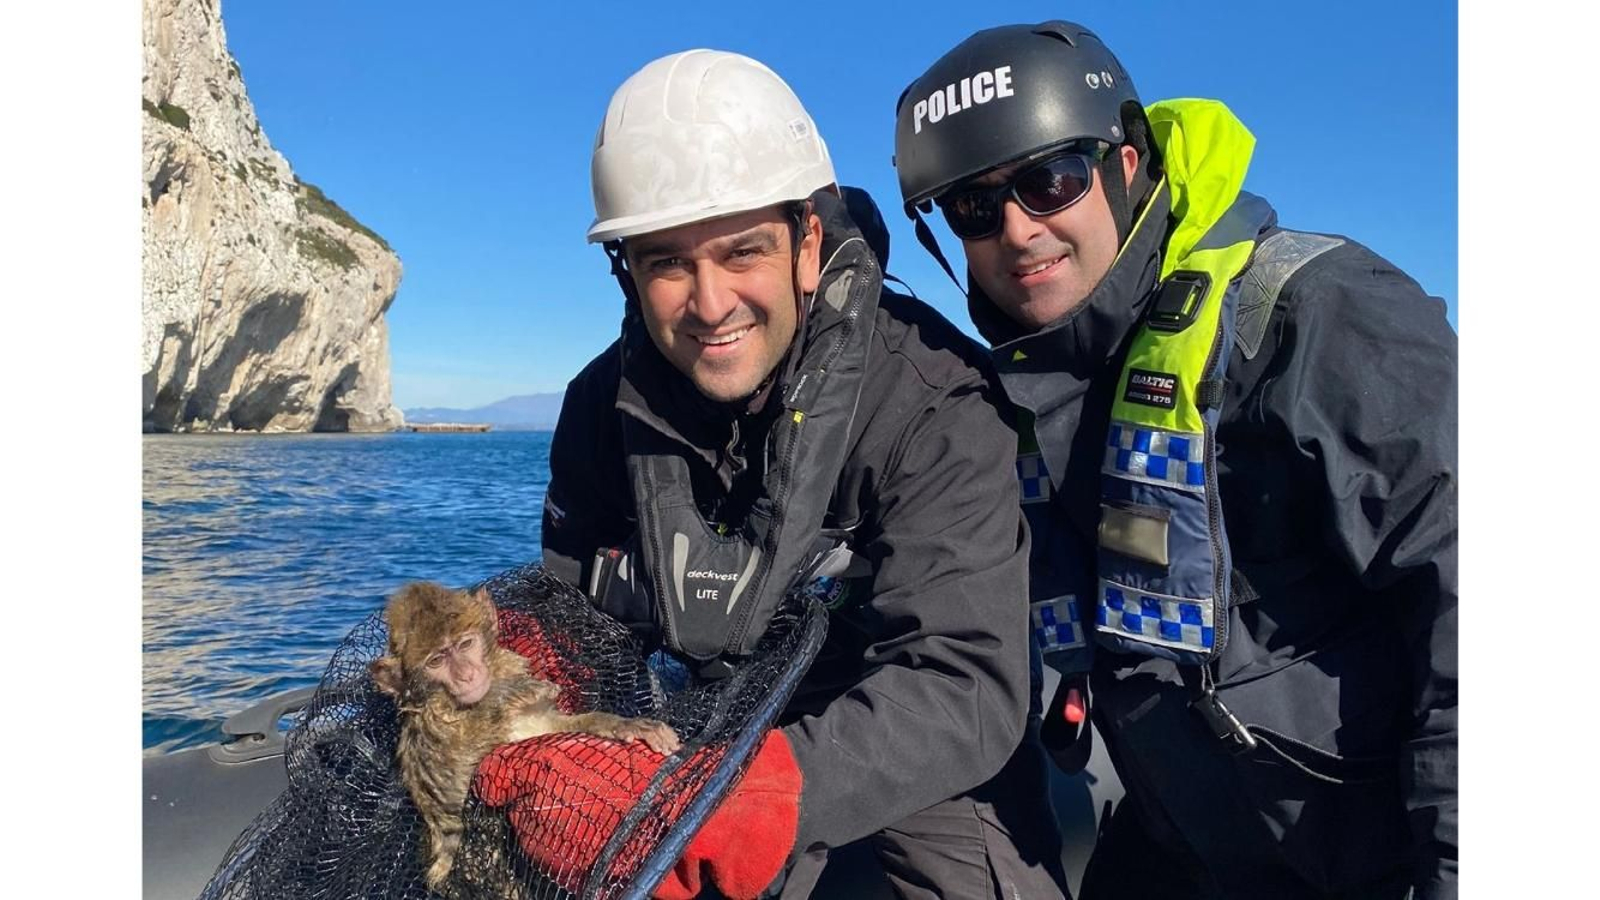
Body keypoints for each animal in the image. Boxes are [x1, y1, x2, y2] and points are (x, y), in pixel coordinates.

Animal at [370, 581, 680, 891]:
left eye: (465, 645)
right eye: (436, 661)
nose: (467, 675)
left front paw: (623, 725)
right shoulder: (433, 727)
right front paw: (512, 690)